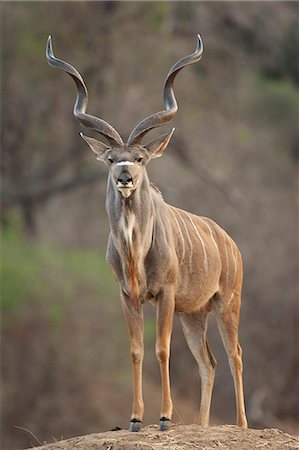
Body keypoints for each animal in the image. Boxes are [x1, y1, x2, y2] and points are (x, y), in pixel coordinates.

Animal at [47, 33, 248, 430]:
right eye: (111, 159)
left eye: (140, 158)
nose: (125, 178)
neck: (135, 250)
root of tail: (230, 243)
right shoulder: (128, 296)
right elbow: (137, 350)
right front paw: (136, 418)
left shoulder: (165, 294)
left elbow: (161, 348)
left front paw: (166, 417)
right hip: (194, 314)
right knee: (209, 363)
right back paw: (201, 425)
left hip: (226, 303)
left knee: (235, 355)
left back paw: (242, 425)